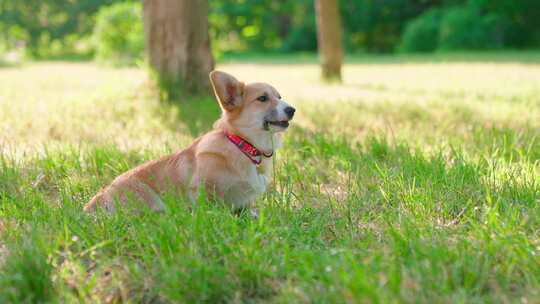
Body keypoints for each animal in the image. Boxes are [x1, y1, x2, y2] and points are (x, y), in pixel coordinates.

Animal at [83, 71, 296, 214]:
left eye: (279, 97)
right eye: (262, 98)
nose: (292, 110)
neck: (243, 145)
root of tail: (97, 200)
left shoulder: (244, 202)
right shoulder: (202, 193)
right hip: (150, 201)